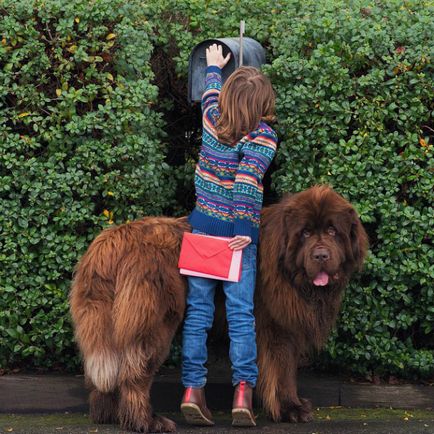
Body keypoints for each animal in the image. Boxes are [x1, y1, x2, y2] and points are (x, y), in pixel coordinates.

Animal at [70, 185, 366, 432]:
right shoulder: (278, 328)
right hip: (153, 322)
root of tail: (111, 242)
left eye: (332, 231)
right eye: (305, 233)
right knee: (135, 373)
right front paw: (289, 409)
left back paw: (109, 414)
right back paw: (145, 421)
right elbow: (283, 371)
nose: (321, 255)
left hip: (104, 321)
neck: (288, 266)